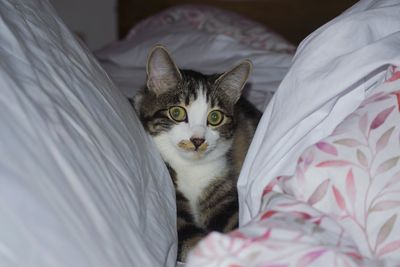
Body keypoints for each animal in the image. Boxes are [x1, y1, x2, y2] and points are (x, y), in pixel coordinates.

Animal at [133, 45, 260, 262]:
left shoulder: (222, 186)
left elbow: (234, 220)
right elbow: (189, 237)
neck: (190, 167)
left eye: (215, 117)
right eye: (176, 113)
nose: (198, 140)